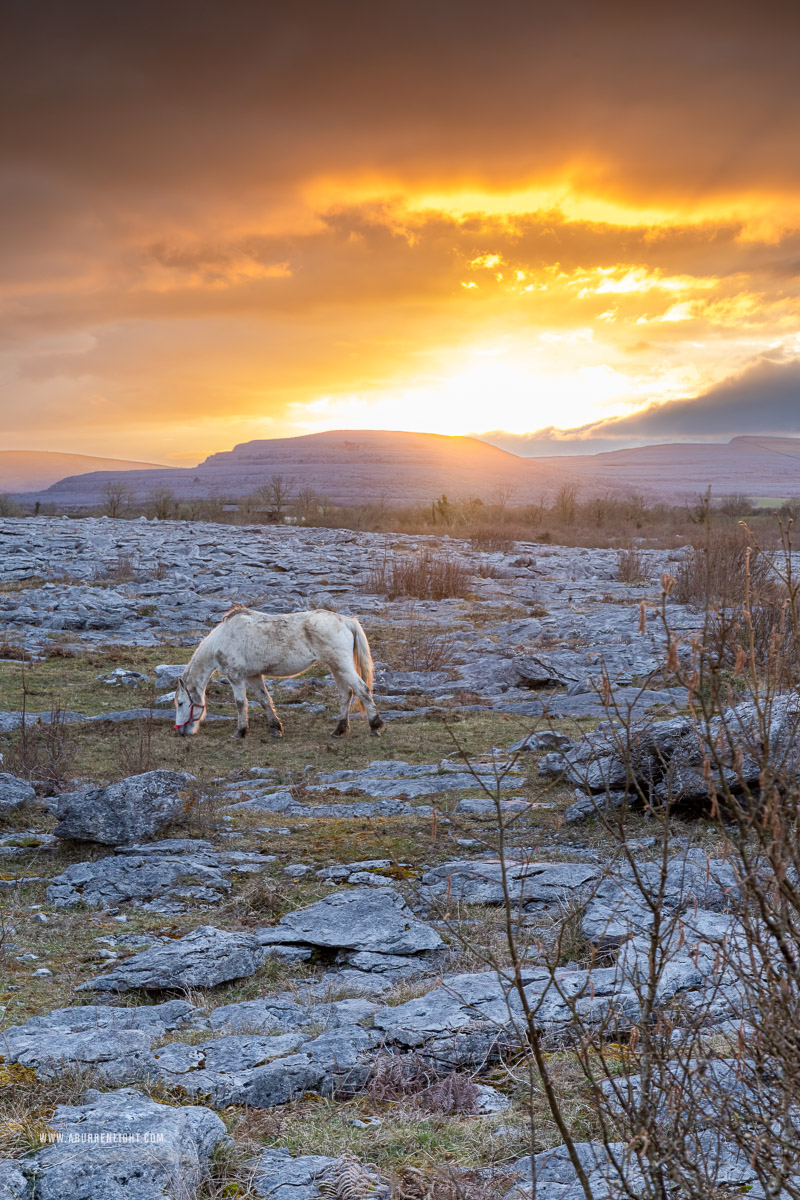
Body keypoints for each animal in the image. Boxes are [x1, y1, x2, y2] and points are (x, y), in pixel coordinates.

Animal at [173, 609, 386, 739]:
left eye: (181, 703)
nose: (181, 731)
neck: (222, 638)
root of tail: (345, 621)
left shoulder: (236, 677)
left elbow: (241, 703)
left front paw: (240, 732)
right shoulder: (253, 676)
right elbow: (265, 700)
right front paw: (275, 728)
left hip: (342, 666)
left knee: (362, 690)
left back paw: (374, 726)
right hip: (336, 667)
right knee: (346, 694)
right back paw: (339, 730)